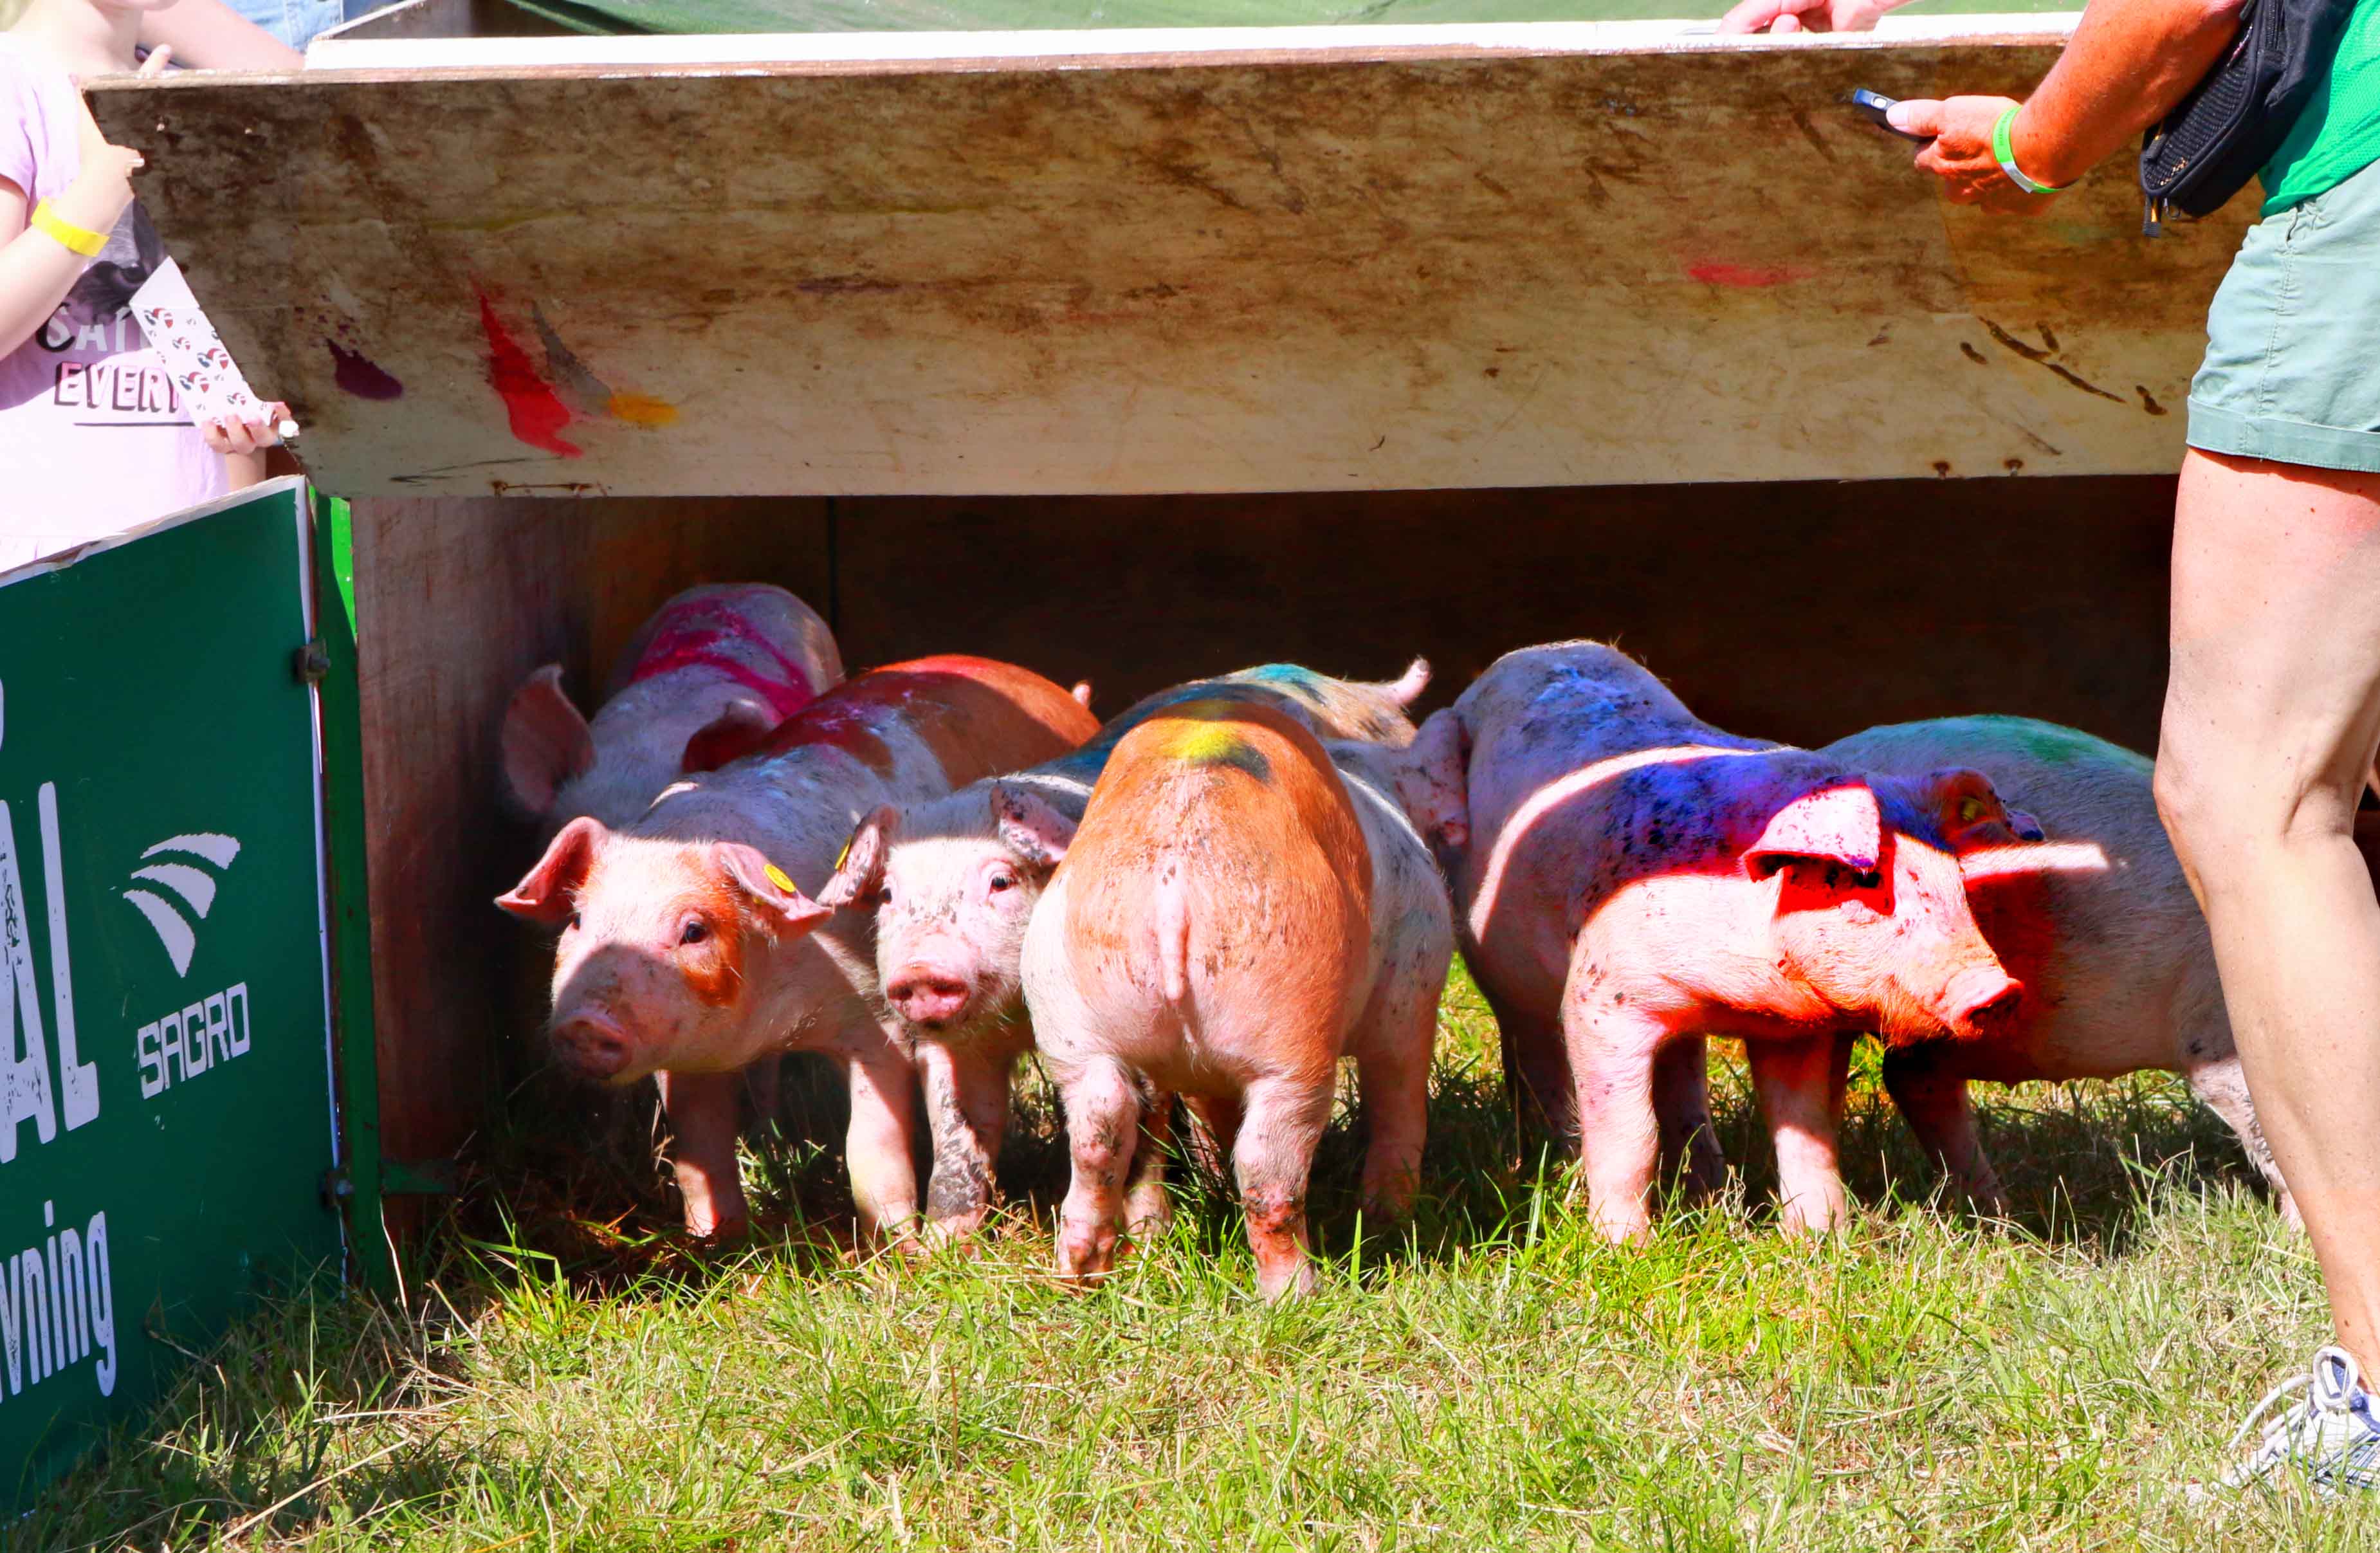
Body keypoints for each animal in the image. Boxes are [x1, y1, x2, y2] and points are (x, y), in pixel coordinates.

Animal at [495, 655, 1098, 1241]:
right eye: (578, 920)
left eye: (693, 930)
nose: (585, 1023)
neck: (765, 1022)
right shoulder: (687, 1055)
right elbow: (699, 1153)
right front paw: (715, 1243)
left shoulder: (876, 1021)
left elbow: (871, 1149)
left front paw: (895, 1248)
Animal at [814, 659, 1434, 1240]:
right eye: (889, 894)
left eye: (1001, 881)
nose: (921, 970)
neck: (1019, 1017)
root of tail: (1358, 689)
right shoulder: (960, 1043)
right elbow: (959, 1131)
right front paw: (943, 1247)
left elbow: (1148, 1133)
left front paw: (1152, 1236)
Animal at [1018, 698, 1455, 1300]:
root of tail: (1173, 885)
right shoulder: (1413, 987)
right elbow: (1400, 1101)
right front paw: (1391, 1223)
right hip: (1292, 1013)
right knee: (1268, 1164)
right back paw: (1298, 1294)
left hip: (1069, 1007)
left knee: (1100, 1129)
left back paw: (1085, 1277)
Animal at [1409, 642, 2023, 1243]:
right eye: (1868, 880)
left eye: (1954, 879)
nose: (1999, 990)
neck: (1734, 996)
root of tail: (1522, 657)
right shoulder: (1600, 996)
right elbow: (1631, 1135)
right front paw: (1626, 1248)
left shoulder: (1795, 1028)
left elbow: (1806, 1131)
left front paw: (1819, 1241)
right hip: (1505, 975)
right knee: (1536, 1056)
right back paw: (1552, 1164)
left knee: (1682, 1081)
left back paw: (1708, 1189)